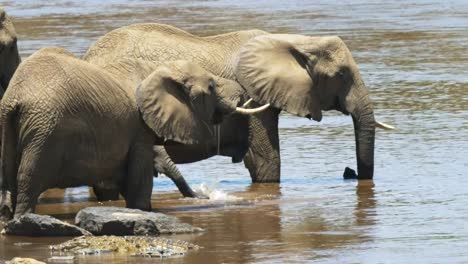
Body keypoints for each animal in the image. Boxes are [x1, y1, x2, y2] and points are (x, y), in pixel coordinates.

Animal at [0, 47, 266, 219]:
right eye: (211, 86)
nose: (207, 197)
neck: (159, 71)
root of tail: (14, 98)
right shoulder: (138, 127)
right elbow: (139, 178)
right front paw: (142, 211)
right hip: (45, 130)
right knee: (28, 177)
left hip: (11, 127)